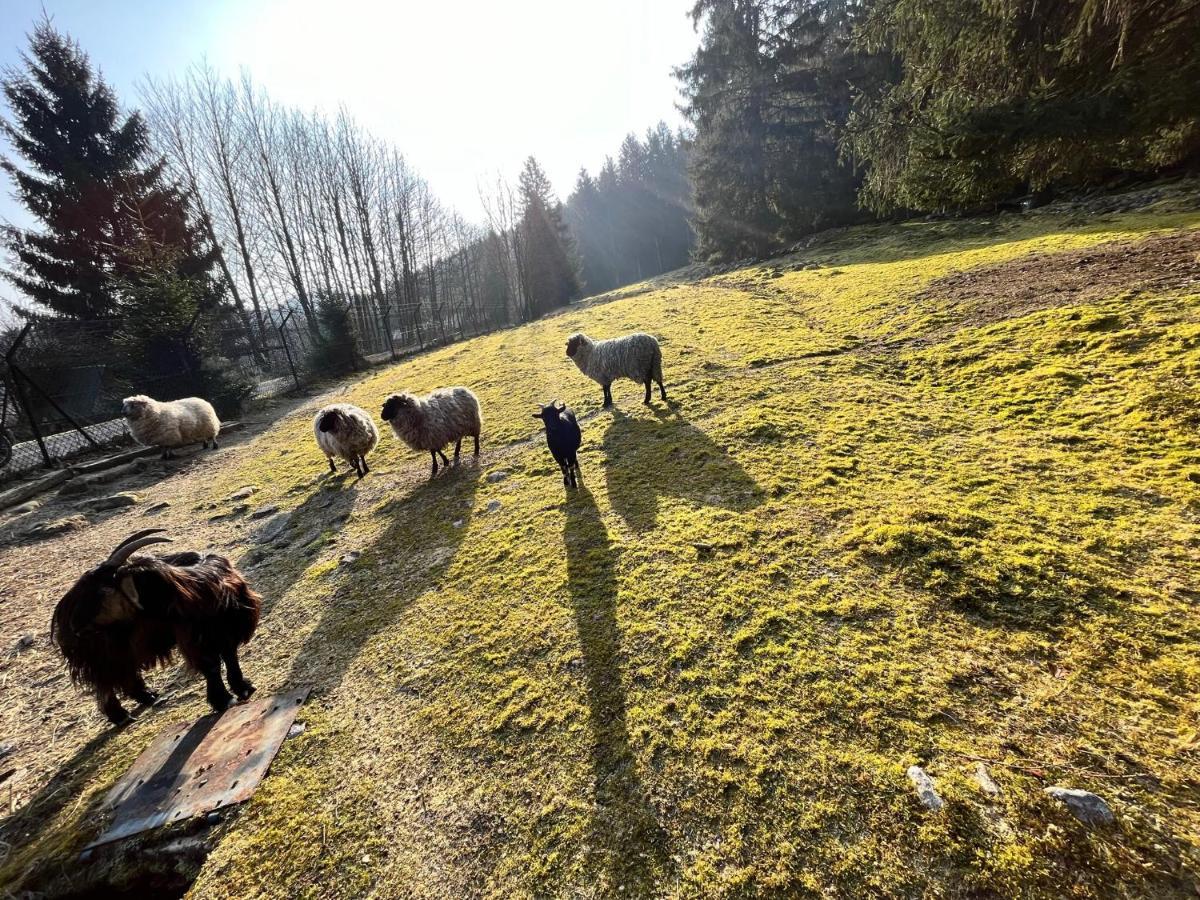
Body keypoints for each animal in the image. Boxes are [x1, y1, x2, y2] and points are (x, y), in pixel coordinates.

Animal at [51, 528, 260, 724]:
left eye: (103, 591)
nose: (74, 628)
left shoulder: (228, 629)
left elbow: (231, 657)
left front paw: (243, 689)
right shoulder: (195, 639)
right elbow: (211, 666)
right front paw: (223, 700)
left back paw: (147, 696)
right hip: (101, 650)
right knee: (105, 681)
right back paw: (121, 716)